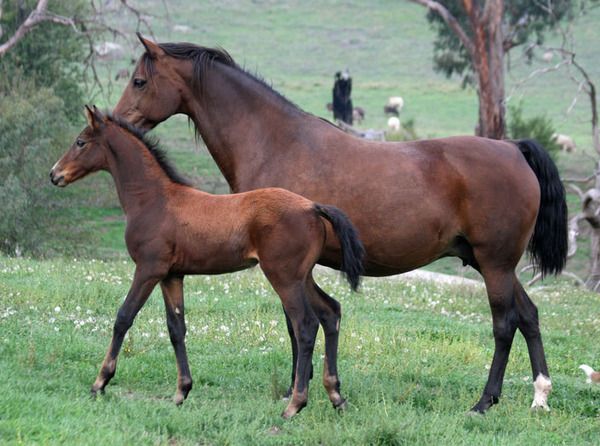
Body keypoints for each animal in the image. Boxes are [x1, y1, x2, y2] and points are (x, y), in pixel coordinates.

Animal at [49, 106, 365, 419]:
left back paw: (295, 404)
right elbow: (176, 328)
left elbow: (123, 317)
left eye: (80, 142)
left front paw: (100, 383)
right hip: (302, 276)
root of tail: (312, 207)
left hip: (284, 277)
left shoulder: (148, 269)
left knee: (305, 325)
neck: (154, 200)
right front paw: (181, 392)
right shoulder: (171, 275)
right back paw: (336, 396)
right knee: (330, 312)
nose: (54, 174)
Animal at [113, 35, 568, 414]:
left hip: (494, 264)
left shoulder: (287, 265)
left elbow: (297, 325)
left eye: (139, 81)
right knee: (529, 316)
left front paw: (298, 391)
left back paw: (484, 401)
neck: (276, 140)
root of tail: (513, 148)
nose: (118, 122)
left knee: (505, 324)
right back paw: (540, 395)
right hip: (492, 263)